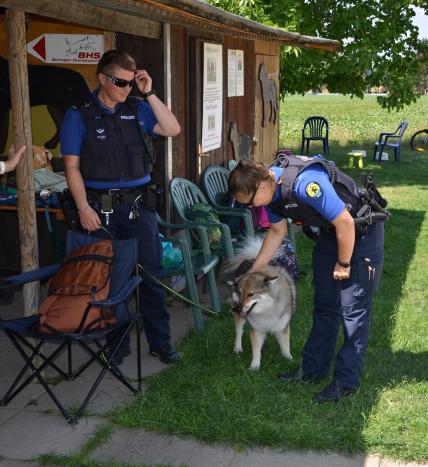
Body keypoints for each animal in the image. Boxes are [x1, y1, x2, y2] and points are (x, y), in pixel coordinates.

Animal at [227, 239, 298, 372]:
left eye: (251, 294)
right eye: (239, 292)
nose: (237, 309)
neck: (267, 309)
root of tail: (252, 258)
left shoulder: (283, 327)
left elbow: (285, 346)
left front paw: (289, 359)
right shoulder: (256, 330)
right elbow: (256, 351)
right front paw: (254, 366)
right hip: (239, 319)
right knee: (238, 331)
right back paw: (237, 348)